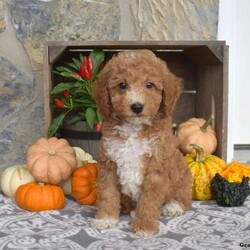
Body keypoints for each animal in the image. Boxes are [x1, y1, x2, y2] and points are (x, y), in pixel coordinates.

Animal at [91, 49, 191, 236]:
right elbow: (108, 194)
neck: (134, 128)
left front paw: (144, 225)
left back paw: (172, 206)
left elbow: (149, 200)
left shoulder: (157, 166)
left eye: (149, 85)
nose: (137, 106)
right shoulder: (109, 163)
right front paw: (105, 219)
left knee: (184, 198)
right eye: (122, 85)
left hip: (183, 176)